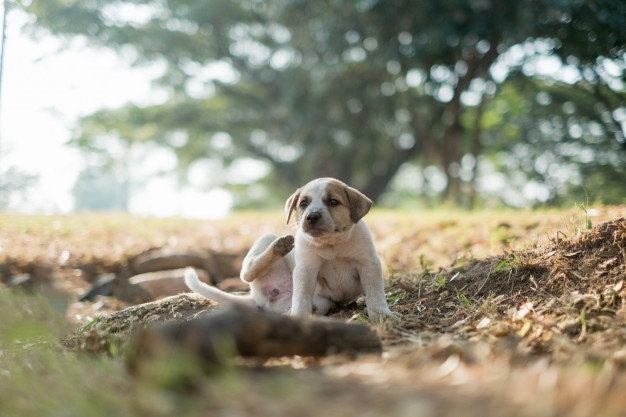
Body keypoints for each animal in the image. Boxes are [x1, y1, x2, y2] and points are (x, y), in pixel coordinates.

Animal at [183, 177, 392, 320]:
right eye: (303, 203)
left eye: (333, 202)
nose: (311, 217)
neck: (331, 244)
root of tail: (257, 298)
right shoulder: (306, 270)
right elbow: (301, 299)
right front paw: (299, 317)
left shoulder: (369, 264)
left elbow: (375, 294)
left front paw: (381, 314)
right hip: (266, 239)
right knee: (247, 273)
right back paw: (279, 247)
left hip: (324, 302)